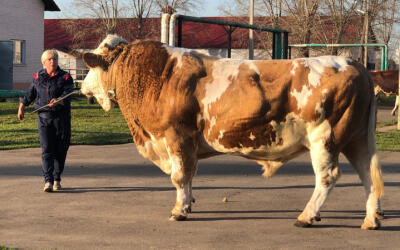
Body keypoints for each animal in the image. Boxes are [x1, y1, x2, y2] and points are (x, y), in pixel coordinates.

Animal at [79, 34, 382, 229]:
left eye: (91, 65)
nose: (81, 87)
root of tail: (354, 64)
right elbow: (189, 174)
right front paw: (188, 203)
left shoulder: (177, 136)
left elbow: (179, 176)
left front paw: (179, 210)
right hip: (356, 139)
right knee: (368, 175)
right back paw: (371, 219)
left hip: (325, 138)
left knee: (328, 177)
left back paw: (307, 216)